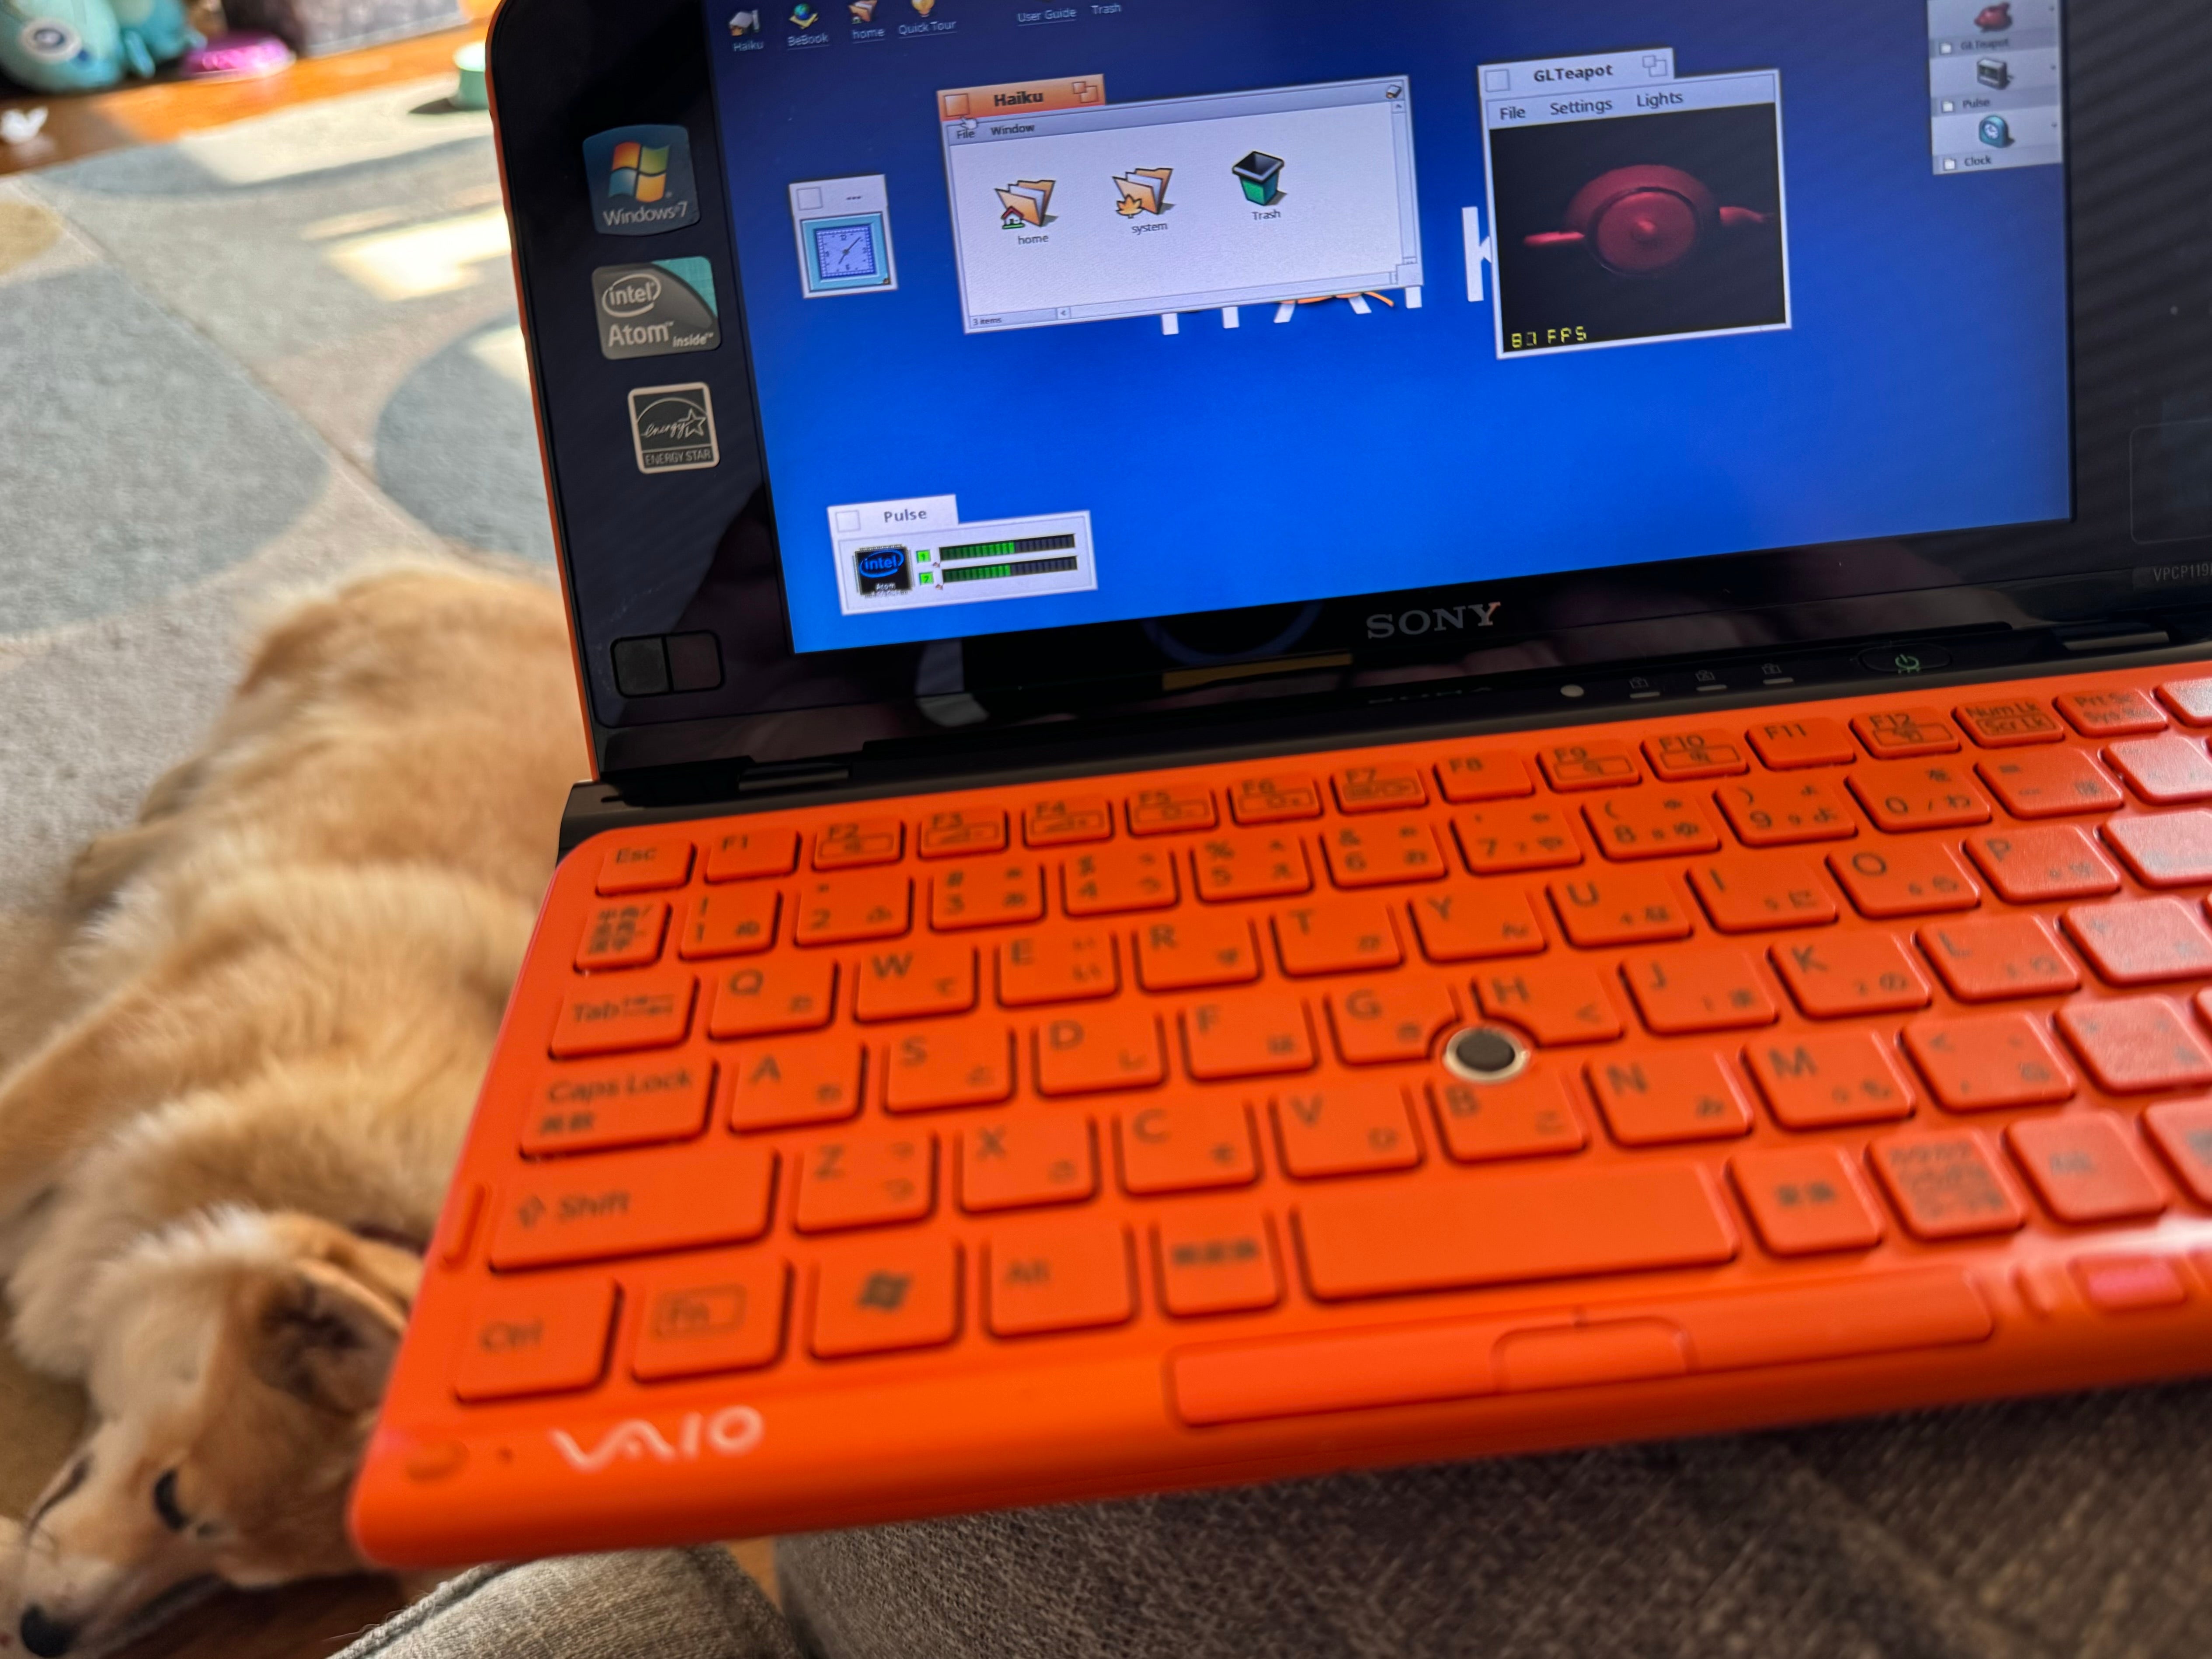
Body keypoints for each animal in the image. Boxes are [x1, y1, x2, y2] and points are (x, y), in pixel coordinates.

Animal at [0, 564, 586, 1655]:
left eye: (226, 1579)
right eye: (176, 1497)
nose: (49, 1633)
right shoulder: (111, 1064)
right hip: (294, 675)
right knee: (211, 755)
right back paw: (131, 843)